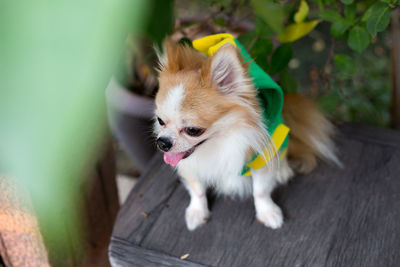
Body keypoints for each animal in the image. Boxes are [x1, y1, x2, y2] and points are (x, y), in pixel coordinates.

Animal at [153, 37, 340, 232]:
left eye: (193, 130)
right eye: (160, 121)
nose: (162, 142)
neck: (218, 144)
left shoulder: (261, 156)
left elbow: (260, 190)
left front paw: (267, 212)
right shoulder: (190, 165)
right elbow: (197, 189)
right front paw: (197, 212)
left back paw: (282, 170)